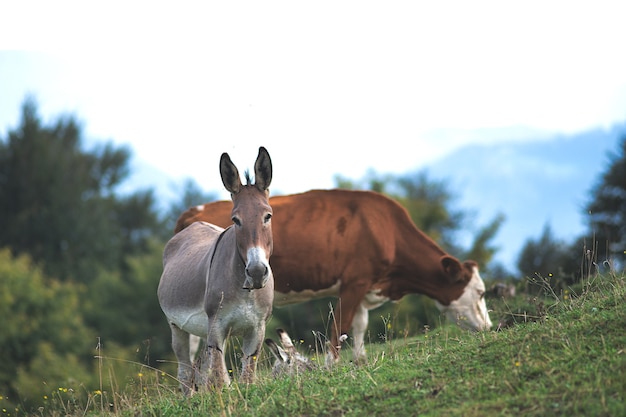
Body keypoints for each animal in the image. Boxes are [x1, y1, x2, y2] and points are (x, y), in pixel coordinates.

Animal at [173, 190, 490, 362]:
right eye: (480, 292)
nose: (490, 327)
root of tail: (193, 212)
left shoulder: (362, 285)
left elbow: (359, 326)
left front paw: (360, 361)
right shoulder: (354, 282)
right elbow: (339, 327)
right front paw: (330, 364)